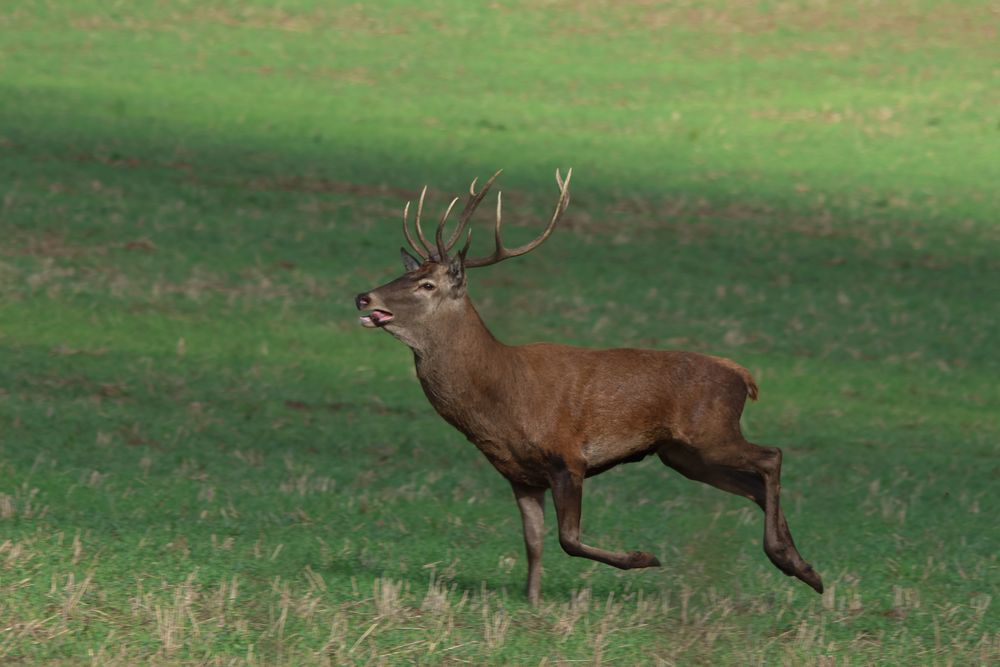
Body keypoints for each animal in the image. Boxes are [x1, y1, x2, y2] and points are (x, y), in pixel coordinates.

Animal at [356, 168, 824, 604]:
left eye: (427, 284)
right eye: (405, 275)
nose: (364, 297)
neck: (499, 403)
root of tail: (742, 376)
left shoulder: (567, 455)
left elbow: (569, 539)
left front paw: (643, 558)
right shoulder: (519, 474)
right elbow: (533, 542)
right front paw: (532, 601)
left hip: (710, 432)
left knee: (771, 456)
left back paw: (790, 561)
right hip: (683, 455)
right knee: (754, 485)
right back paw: (803, 566)